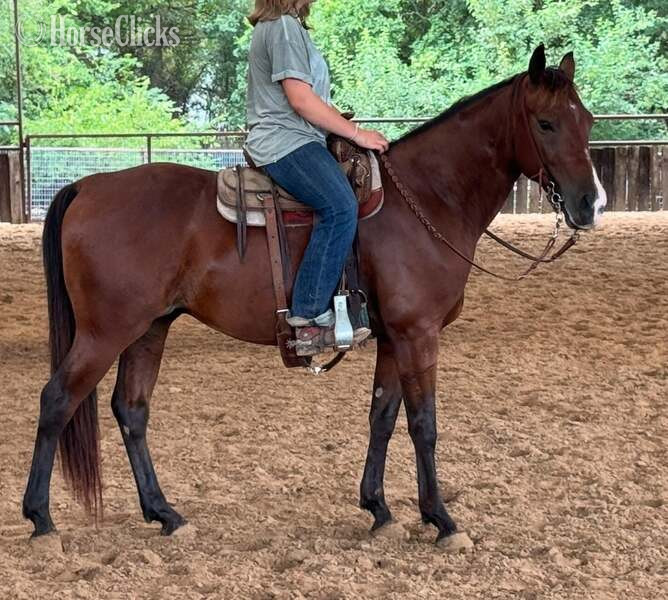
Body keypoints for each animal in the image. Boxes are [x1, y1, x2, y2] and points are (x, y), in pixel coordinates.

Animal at [23, 44, 606, 545]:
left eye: (588, 121)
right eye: (546, 122)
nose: (590, 204)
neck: (428, 198)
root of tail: (89, 185)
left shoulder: (393, 337)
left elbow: (382, 415)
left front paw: (379, 508)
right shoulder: (418, 334)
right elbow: (424, 424)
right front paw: (441, 519)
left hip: (150, 327)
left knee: (132, 409)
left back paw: (164, 513)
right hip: (105, 332)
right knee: (57, 400)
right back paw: (41, 519)